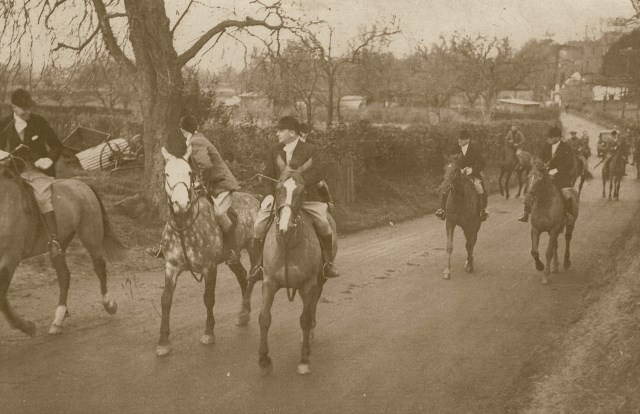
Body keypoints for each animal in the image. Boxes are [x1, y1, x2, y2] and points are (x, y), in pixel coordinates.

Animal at [0, 155, 121, 336]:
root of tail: (80, 183)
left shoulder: (10, 256)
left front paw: (26, 326)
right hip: (61, 244)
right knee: (64, 276)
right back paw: (59, 319)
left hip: (90, 235)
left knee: (99, 266)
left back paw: (108, 304)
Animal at [156, 147, 258, 358]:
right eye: (167, 174)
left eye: (189, 173)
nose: (181, 203)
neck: (184, 226)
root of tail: (255, 199)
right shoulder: (171, 267)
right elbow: (166, 300)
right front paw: (163, 342)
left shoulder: (209, 268)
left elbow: (208, 299)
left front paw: (209, 333)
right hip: (233, 257)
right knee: (243, 278)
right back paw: (244, 313)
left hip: (253, 248)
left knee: (253, 277)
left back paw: (244, 311)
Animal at [256, 165, 336, 376]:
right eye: (277, 190)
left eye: (301, 192)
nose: (284, 227)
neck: (288, 243)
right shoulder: (269, 282)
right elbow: (264, 318)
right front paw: (264, 360)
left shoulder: (309, 284)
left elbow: (305, 319)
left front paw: (304, 360)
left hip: (318, 282)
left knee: (313, 307)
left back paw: (311, 335)